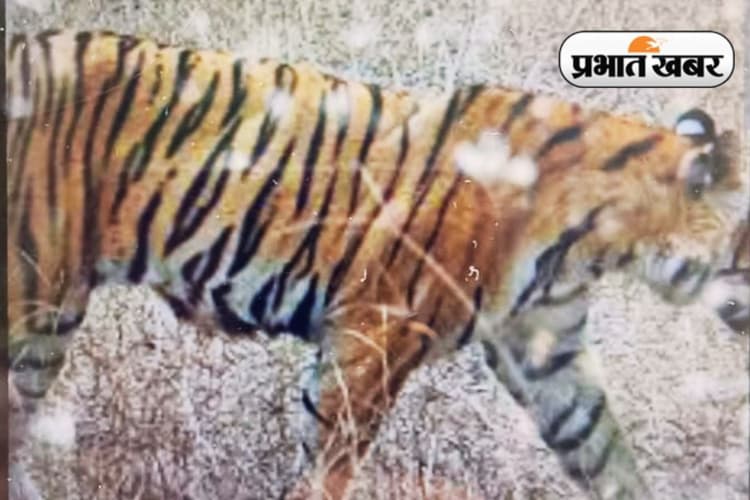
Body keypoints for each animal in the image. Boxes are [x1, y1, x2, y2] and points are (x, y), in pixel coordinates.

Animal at [6, 29, 747, 500]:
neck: (597, 244)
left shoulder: (547, 350)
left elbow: (602, 447)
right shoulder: (378, 333)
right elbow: (331, 463)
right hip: (37, 299)